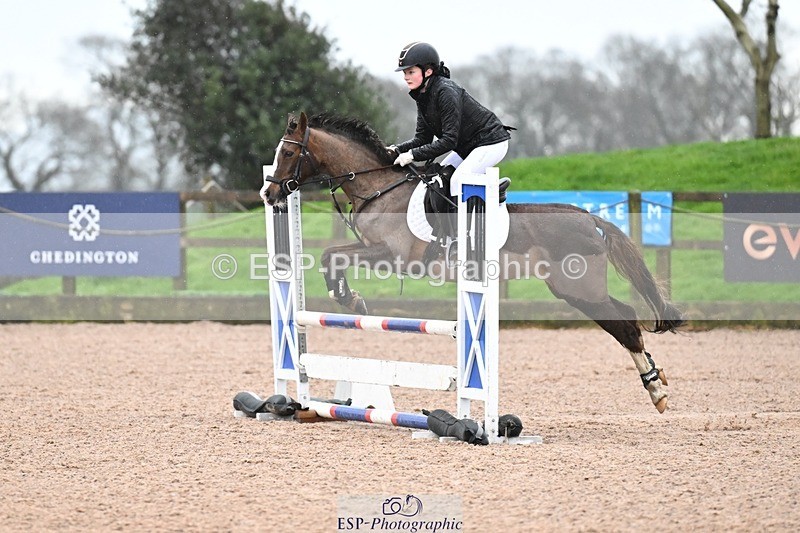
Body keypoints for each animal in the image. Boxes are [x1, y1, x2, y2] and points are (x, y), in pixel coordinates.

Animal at [260, 112, 684, 413]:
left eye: (289, 153)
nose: (268, 194)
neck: (379, 187)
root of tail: (588, 218)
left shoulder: (392, 256)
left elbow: (333, 256)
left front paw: (351, 299)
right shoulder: (372, 249)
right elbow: (330, 256)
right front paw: (347, 296)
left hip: (579, 289)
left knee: (625, 322)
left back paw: (656, 389)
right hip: (574, 290)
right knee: (624, 318)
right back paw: (656, 380)